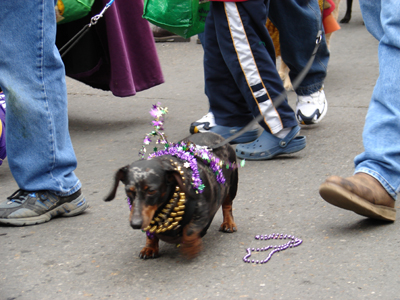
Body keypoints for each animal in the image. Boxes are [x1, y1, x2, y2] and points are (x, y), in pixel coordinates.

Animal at [104, 132, 239, 258]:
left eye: (151, 191)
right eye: (129, 191)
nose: (135, 224)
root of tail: (215, 135)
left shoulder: (202, 212)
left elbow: (190, 231)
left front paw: (190, 248)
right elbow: (150, 233)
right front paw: (150, 247)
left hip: (232, 186)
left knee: (227, 205)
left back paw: (228, 223)